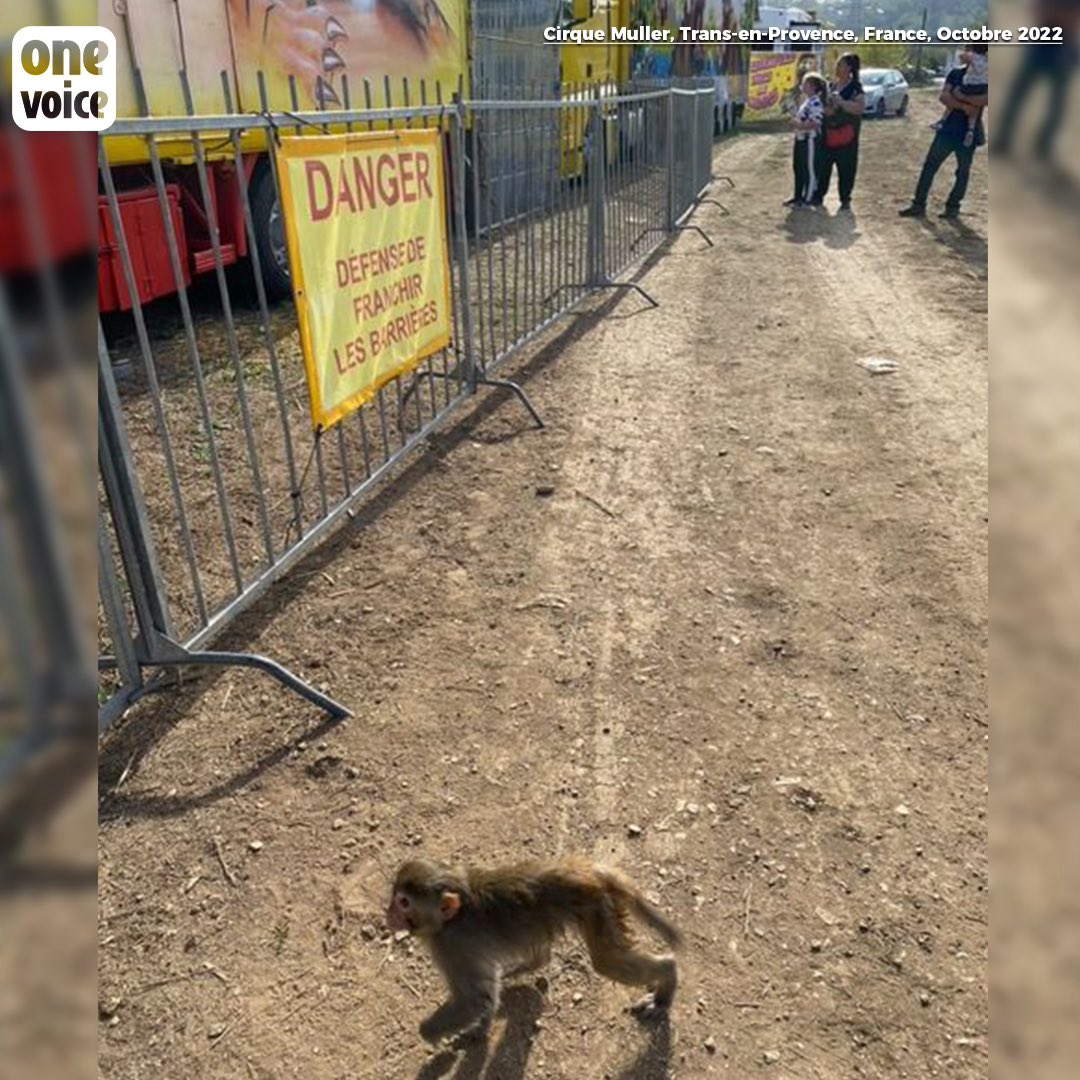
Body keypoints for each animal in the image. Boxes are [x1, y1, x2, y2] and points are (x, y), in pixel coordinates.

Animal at [385, 855, 683, 1045]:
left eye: (404, 902)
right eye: (394, 896)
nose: (389, 914)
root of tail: (588, 871)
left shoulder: (451, 947)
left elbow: (474, 999)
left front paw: (429, 1033)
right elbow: (486, 995)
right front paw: (480, 1027)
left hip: (598, 909)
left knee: (608, 962)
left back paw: (666, 984)